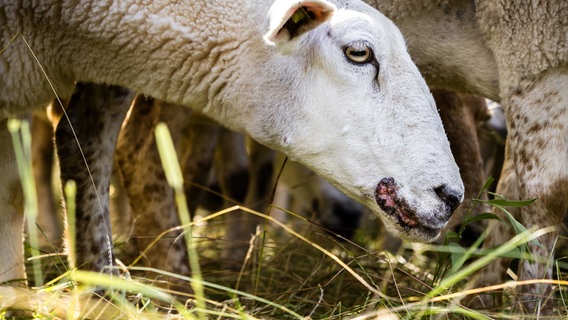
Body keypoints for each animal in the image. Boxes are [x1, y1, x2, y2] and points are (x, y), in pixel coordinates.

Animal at [364, 0, 568, 314]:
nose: (466, 228)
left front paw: (481, 296)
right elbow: (545, 200)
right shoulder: (535, 55)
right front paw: (531, 307)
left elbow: (509, 191)